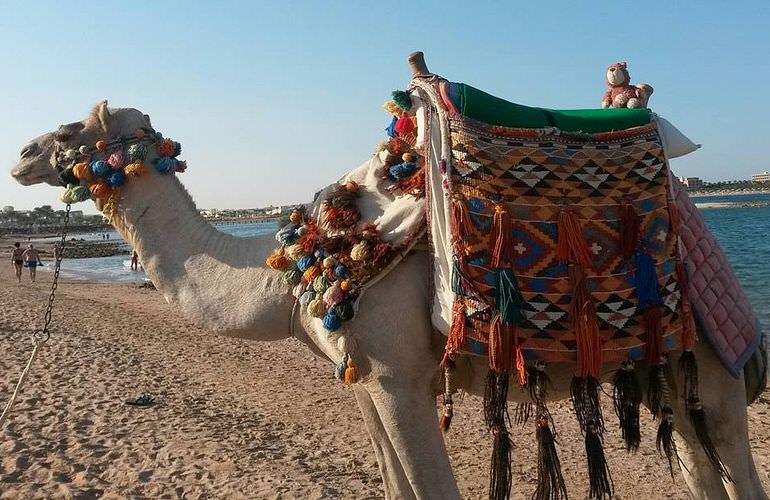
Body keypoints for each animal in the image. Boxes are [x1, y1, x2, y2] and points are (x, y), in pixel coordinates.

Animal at [9, 54, 764, 500]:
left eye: (69, 129)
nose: (21, 153)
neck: (289, 275)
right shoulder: (368, 379)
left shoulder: (399, 374)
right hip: (672, 371)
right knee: (700, 463)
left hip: (713, 362)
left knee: (733, 454)